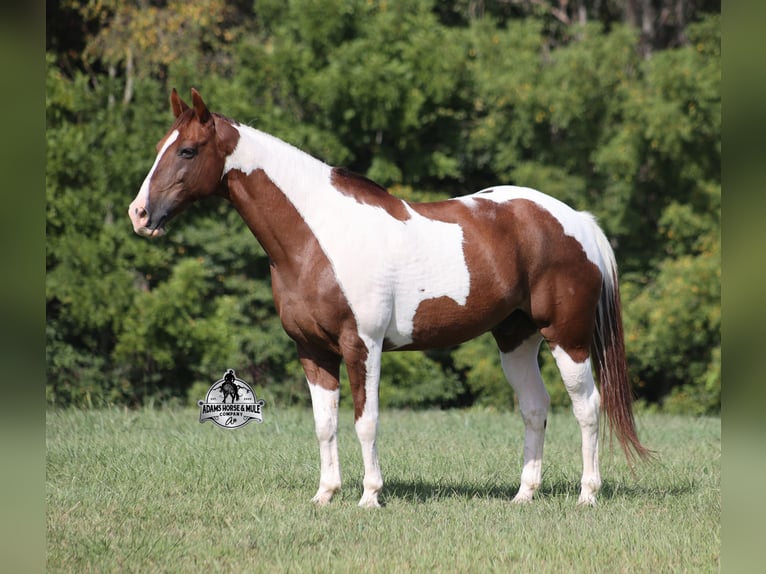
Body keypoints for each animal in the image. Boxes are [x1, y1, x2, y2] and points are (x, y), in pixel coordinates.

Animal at [129, 88, 650, 507]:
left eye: (189, 150)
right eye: (158, 149)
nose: (140, 214)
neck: (319, 236)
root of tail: (577, 220)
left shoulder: (363, 345)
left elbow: (367, 420)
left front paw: (370, 497)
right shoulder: (312, 351)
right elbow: (324, 424)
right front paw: (325, 495)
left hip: (568, 338)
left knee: (587, 408)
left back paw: (587, 495)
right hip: (515, 339)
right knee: (535, 407)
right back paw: (524, 494)